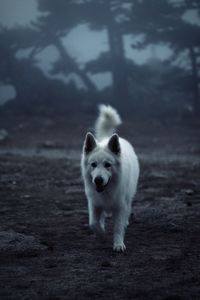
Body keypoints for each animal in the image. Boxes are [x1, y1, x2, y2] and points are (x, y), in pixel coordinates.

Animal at [81, 105, 139, 251]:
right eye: (93, 164)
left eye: (108, 165)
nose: (98, 180)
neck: (107, 190)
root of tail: (107, 138)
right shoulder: (94, 203)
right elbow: (93, 223)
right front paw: (101, 234)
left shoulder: (120, 207)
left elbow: (118, 227)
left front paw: (118, 244)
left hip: (128, 197)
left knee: (127, 211)